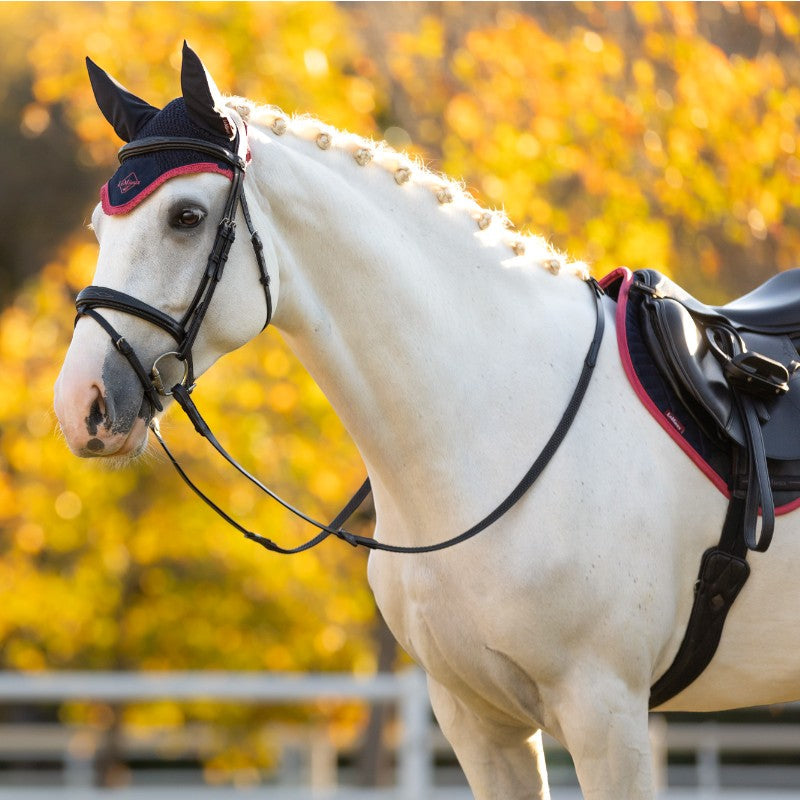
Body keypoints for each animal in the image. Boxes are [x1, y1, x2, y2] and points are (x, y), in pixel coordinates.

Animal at [54, 44, 800, 799]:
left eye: (185, 216)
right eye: (98, 228)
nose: (81, 404)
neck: (497, 423)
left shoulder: (606, 712)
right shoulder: (476, 718)